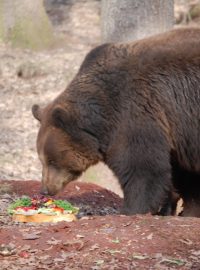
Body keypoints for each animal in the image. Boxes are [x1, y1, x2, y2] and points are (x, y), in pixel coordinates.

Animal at [31, 27, 200, 216]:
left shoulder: (136, 114)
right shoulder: (178, 133)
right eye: (41, 159)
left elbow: (142, 169)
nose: (45, 189)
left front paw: (131, 208)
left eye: (52, 160)